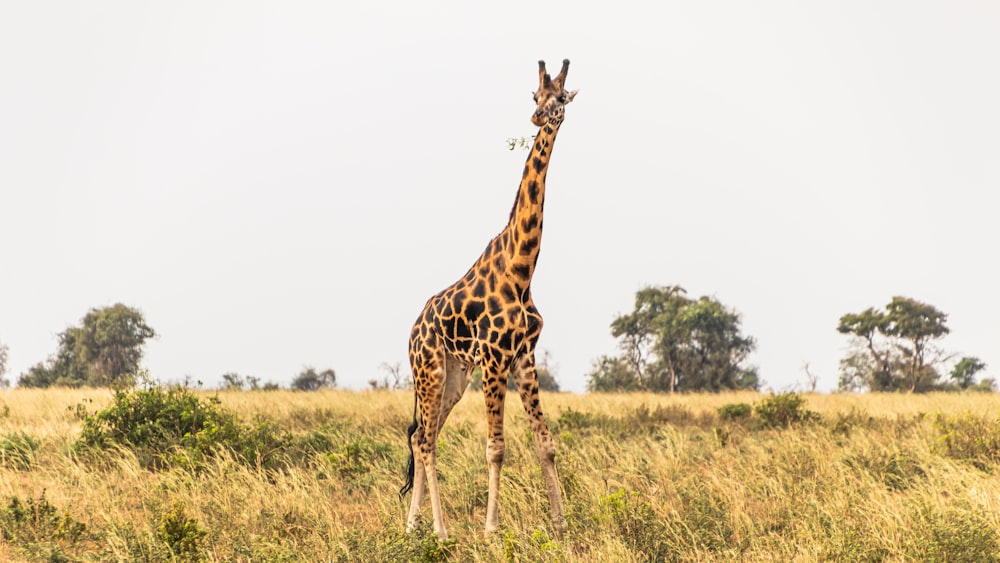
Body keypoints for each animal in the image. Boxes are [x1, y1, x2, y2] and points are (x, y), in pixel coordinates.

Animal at [400, 59, 580, 540]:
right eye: (535, 96)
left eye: (559, 98)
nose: (537, 118)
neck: (522, 270)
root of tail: (412, 331)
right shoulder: (496, 359)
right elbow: (496, 448)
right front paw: (491, 529)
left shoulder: (524, 358)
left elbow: (546, 443)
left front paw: (561, 524)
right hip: (429, 371)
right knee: (424, 440)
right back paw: (440, 530)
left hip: (454, 376)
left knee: (422, 436)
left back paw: (412, 526)